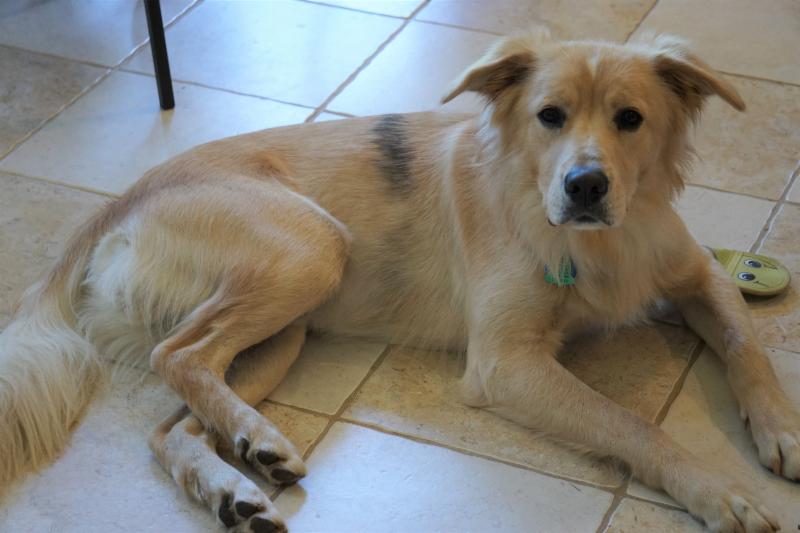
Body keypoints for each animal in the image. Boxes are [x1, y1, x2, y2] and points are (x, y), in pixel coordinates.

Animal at [1, 30, 798, 532]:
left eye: (630, 119)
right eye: (550, 116)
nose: (585, 186)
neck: (598, 239)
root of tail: (123, 197)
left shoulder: (697, 275)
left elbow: (747, 345)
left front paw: (781, 428)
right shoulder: (505, 363)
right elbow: (633, 423)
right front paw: (719, 492)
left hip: (284, 329)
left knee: (173, 422)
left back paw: (237, 478)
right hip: (313, 250)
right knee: (178, 357)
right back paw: (255, 441)